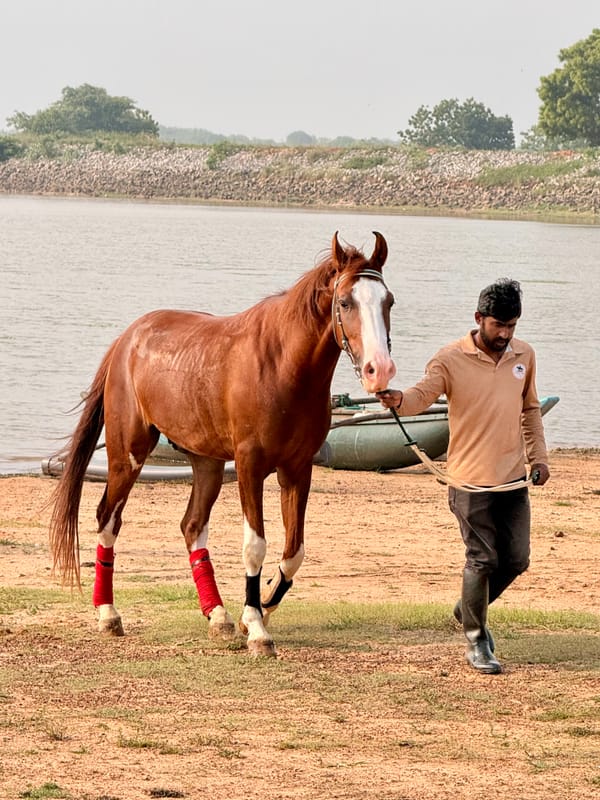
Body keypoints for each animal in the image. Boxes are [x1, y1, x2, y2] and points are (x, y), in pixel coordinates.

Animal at [49, 231, 396, 656]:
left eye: (388, 301)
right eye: (346, 302)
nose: (380, 370)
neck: (283, 365)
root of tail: (126, 339)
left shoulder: (297, 468)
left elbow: (293, 552)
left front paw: (262, 604)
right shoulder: (250, 465)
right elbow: (255, 546)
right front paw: (257, 627)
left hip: (207, 463)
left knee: (192, 526)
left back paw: (217, 615)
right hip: (127, 454)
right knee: (107, 520)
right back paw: (108, 614)